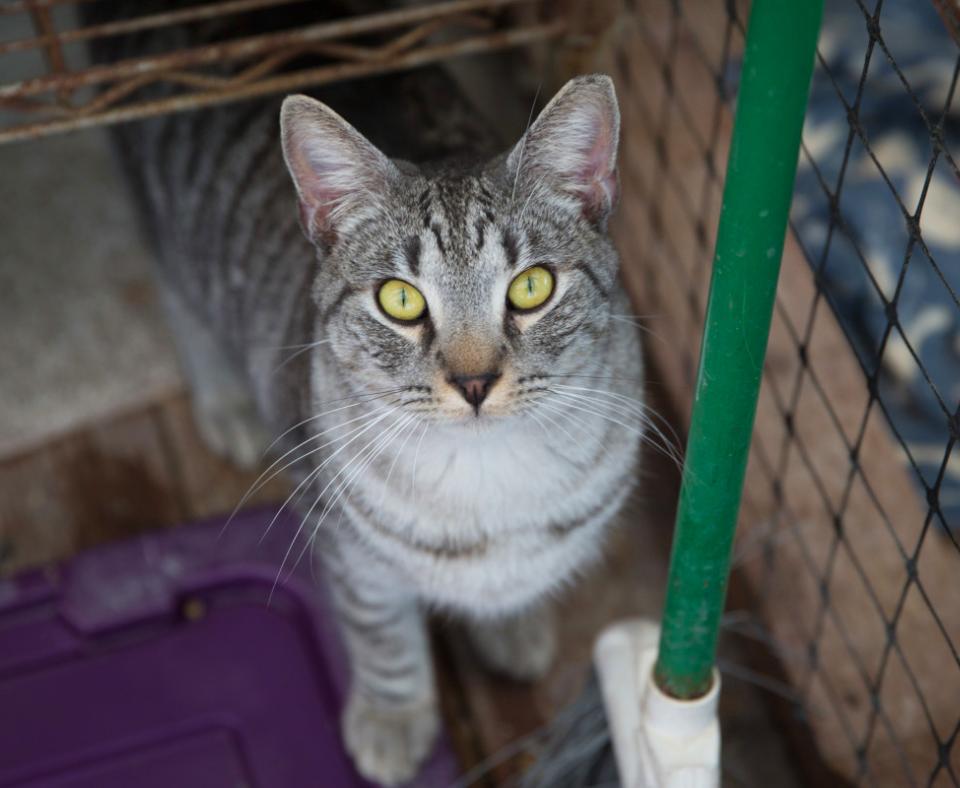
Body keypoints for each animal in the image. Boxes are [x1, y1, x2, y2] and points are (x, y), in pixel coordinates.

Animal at [112, 63, 640, 780]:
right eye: (400, 299)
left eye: (531, 287)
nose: (474, 383)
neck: (487, 485)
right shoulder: (346, 543)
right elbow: (381, 632)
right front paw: (393, 717)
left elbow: (511, 586)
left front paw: (508, 625)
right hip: (166, 227)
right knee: (177, 298)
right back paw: (224, 400)